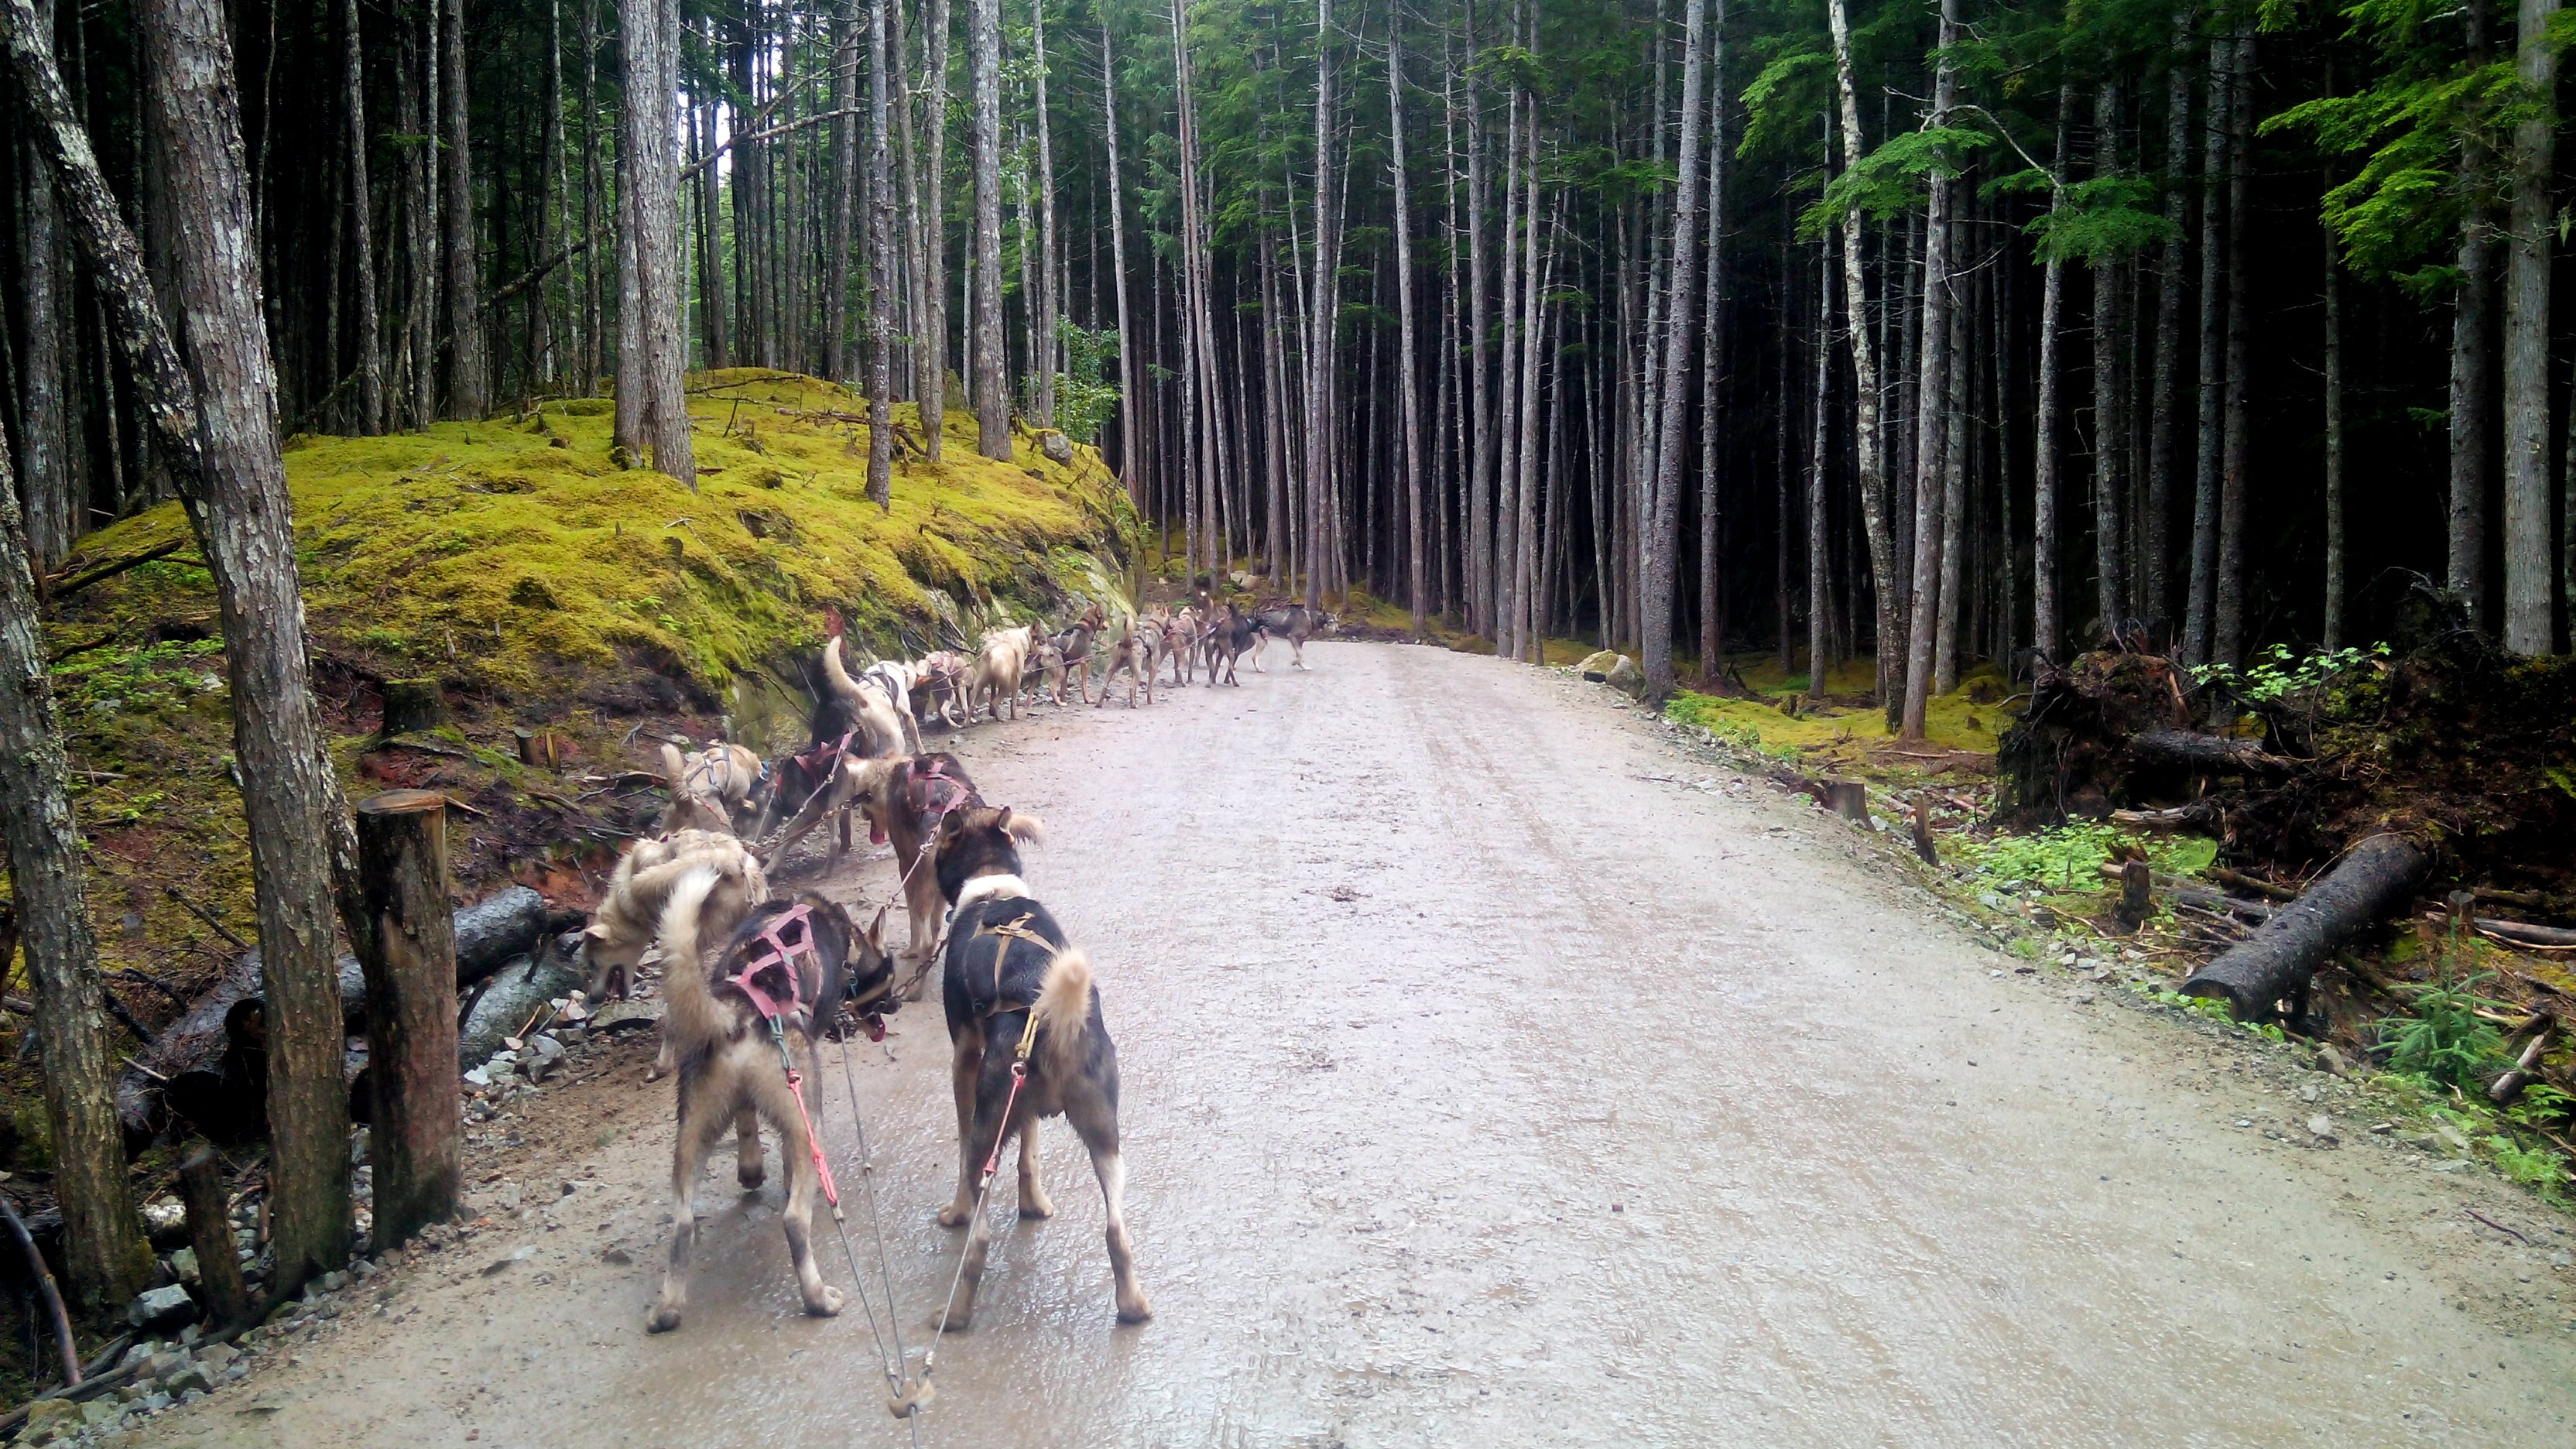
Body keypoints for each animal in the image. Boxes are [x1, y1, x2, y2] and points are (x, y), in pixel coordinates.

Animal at [927, 804, 1149, 1330]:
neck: (991, 885)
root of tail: (1046, 1013)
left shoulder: (964, 1062)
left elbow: (963, 1150)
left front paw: (956, 1211)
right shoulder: (1022, 1109)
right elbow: (1030, 1153)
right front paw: (1034, 1205)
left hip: (989, 1128)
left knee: (980, 1239)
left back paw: (957, 1314)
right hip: (1105, 1138)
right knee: (1117, 1232)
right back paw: (1133, 1306)